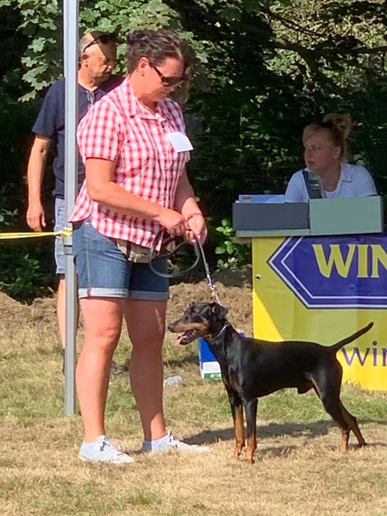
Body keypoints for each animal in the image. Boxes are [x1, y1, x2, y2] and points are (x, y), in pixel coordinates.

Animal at [168, 302, 374, 464]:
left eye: (193, 313)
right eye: (185, 311)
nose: (170, 326)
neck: (230, 351)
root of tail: (329, 350)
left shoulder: (250, 400)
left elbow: (250, 435)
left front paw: (249, 459)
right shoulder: (234, 400)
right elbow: (238, 433)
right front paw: (235, 456)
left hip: (327, 397)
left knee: (344, 426)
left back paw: (342, 452)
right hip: (331, 395)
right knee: (351, 418)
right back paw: (362, 445)